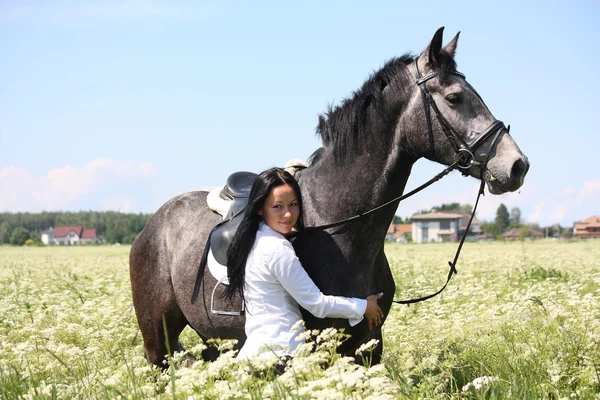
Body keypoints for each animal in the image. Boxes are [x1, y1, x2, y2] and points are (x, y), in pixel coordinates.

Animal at [130, 26, 528, 368]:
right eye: (455, 98)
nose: (517, 165)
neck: (338, 224)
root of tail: (151, 227)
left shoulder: (369, 343)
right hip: (157, 341)